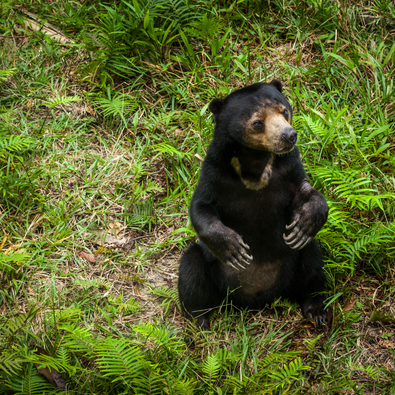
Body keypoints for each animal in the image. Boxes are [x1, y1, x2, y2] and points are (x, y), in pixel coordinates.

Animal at [178, 80, 330, 334]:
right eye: (258, 122)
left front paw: (304, 224)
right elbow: (201, 207)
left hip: (293, 264)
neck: (256, 161)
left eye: (284, 111)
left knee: (311, 263)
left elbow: (306, 192)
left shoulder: (290, 168)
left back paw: (316, 309)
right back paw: (197, 325)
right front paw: (234, 248)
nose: (289, 135)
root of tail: (257, 300)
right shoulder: (214, 170)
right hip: (213, 272)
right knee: (191, 273)